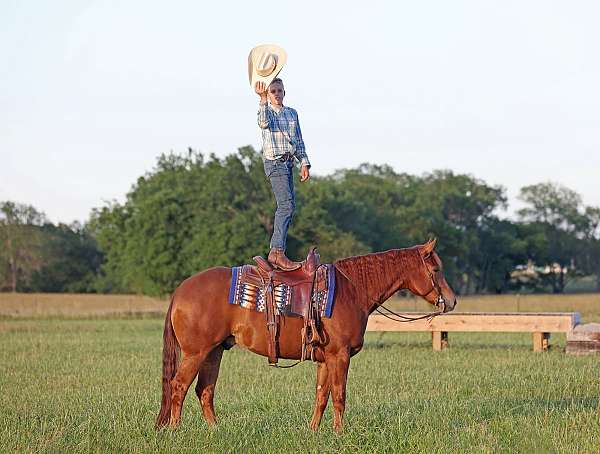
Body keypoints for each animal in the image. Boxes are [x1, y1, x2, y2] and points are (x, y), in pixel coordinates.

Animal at [155, 238, 454, 432]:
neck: (352, 289)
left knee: (204, 390)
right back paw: (176, 430)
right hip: (196, 353)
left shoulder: (325, 359)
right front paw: (339, 433)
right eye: (436, 269)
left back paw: (215, 430)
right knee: (178, 386)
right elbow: (339, 395)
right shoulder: (340, 356)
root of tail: (181, 290)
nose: (451, 301)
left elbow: (321, 395)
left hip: (214, 352)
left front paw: (314, 431)